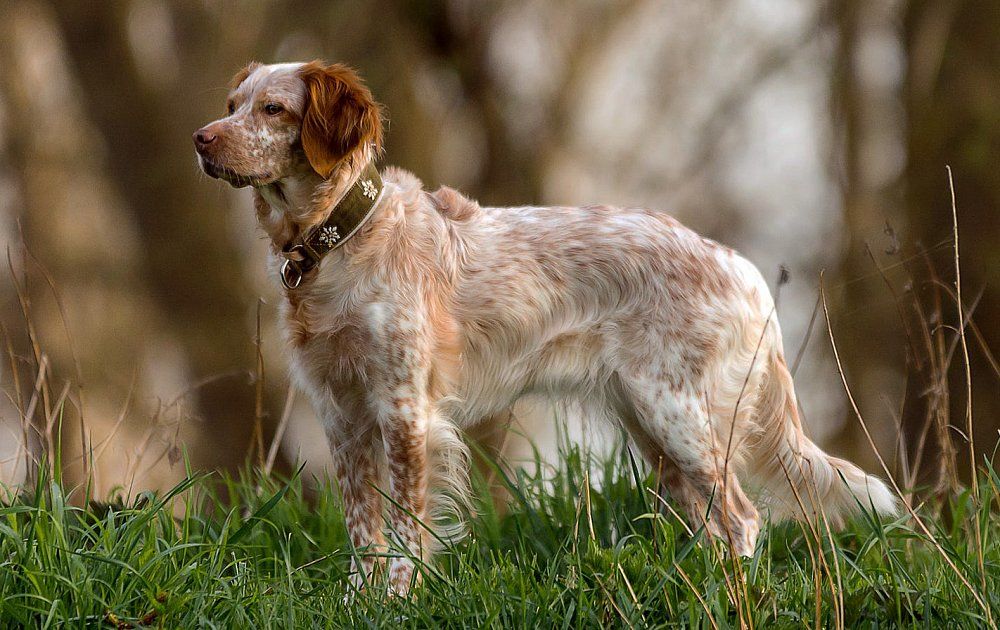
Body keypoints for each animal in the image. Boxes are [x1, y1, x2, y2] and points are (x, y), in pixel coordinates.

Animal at [191, 60, 896, 596]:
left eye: (273, 109)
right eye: (232, 105)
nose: (201, 138)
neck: (337, 239)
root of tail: (744, 272)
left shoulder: (403, 407)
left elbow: (406, 526)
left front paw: (397, 598)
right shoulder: (339, 411)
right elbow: (363, 527)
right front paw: (359, 601)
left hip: (677, 414)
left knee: (743, 518)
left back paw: (733, 594)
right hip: (654, 427)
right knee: (709, 520)